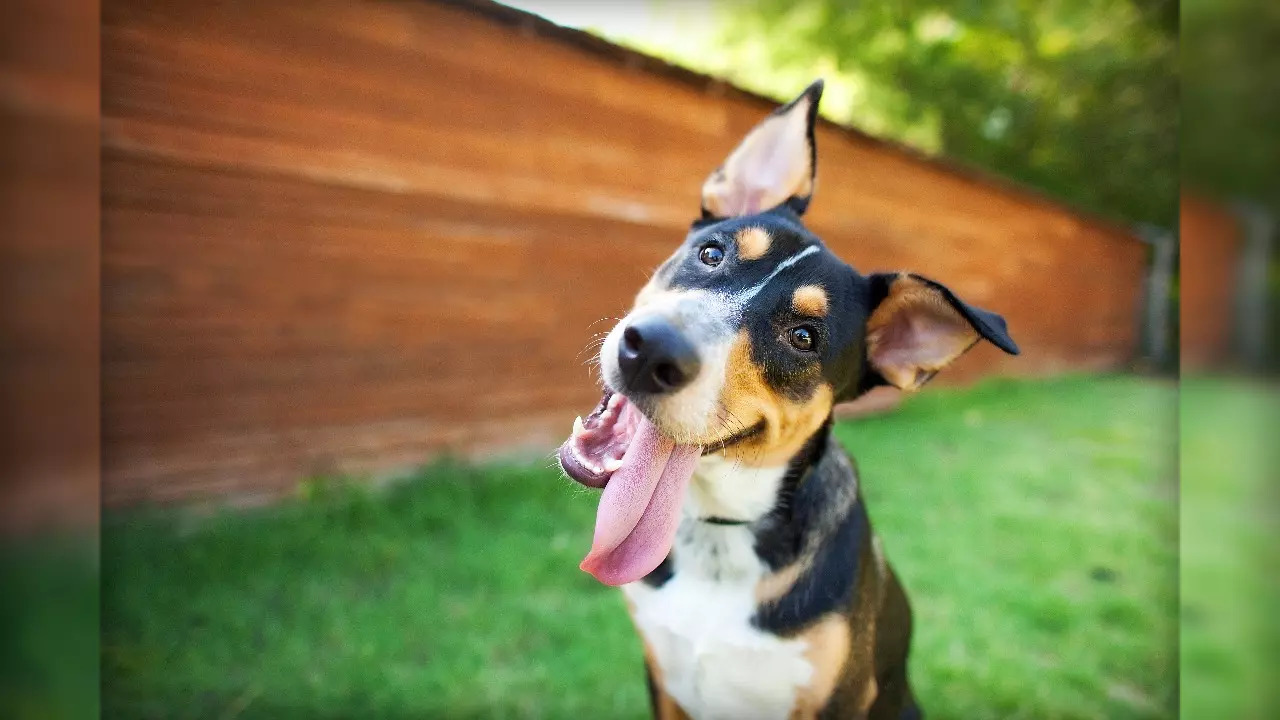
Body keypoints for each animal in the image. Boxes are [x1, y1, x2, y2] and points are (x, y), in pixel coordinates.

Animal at [555, 79, 1013, 717]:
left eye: (804, 337)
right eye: (712, 253)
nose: (649, 352)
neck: (721, 533)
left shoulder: (840, 698)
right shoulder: (662, 677)